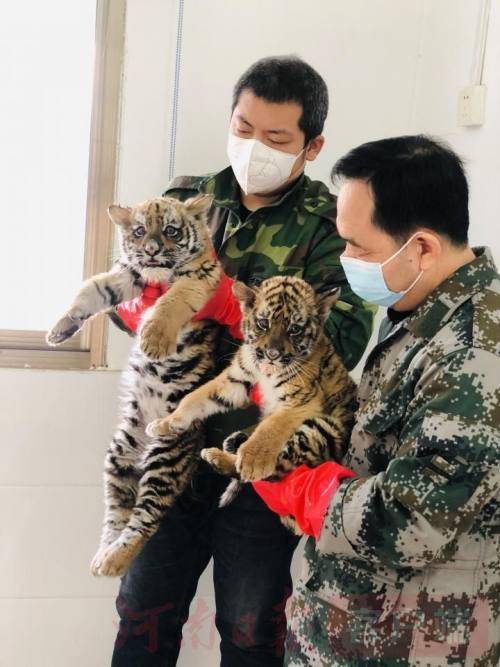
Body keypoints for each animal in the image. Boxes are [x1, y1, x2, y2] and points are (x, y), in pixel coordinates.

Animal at [46, 193, 222, 576]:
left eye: (171, 230)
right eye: (140, 231)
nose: (152, 250)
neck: (154, 275)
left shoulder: (199, 279)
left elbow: (170, 302)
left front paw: (153, 342)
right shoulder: (127, 275)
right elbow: (91, 289)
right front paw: (59, 329)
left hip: (166, 457)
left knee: (146, 520)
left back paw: (114, 560)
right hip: (119, 456)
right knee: (119, 511)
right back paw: (103, 555)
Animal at [146, 275, 358, 534]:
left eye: (295, 329)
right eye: (263, 323)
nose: (272, 353)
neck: (265, 371)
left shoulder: (301, 402)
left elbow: (270, 428)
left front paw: (253, 461)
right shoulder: (235, 381)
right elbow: (194, 398)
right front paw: (167, 423)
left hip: (320, 429)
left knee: (276, 471)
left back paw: (226, 457)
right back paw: (228, 447)